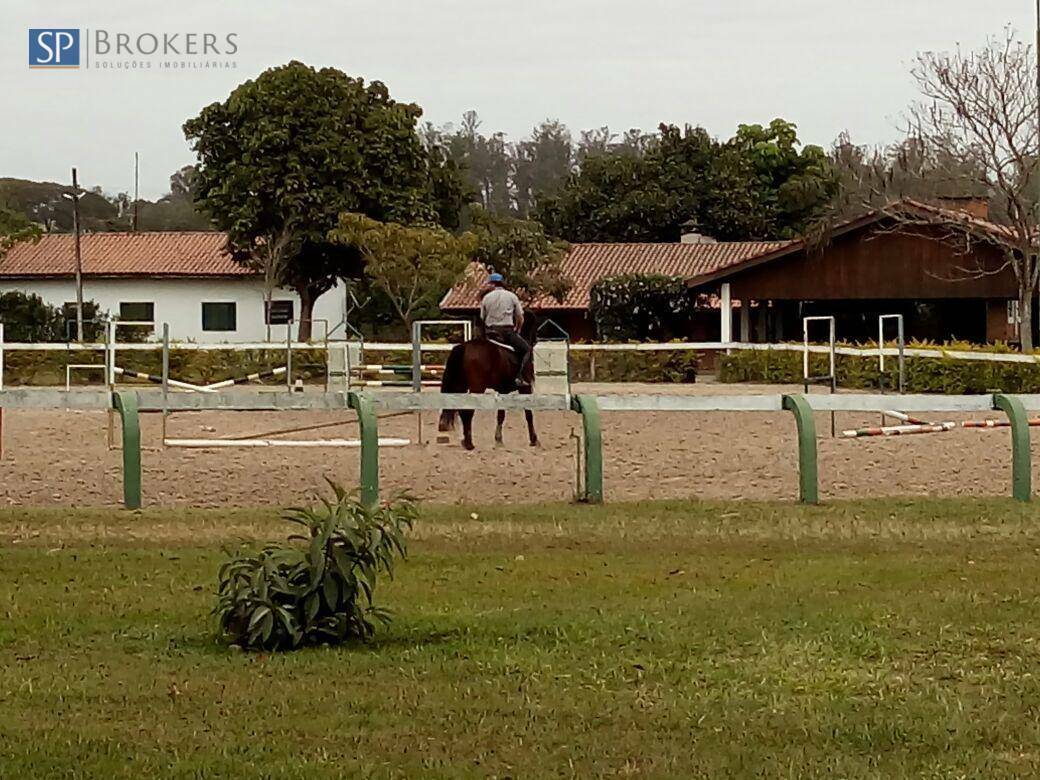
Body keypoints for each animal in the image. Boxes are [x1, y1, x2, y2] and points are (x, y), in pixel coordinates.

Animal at [436, 307, 540, 449]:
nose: (535, 340)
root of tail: (465, 346)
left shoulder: (503, 390)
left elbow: (501, 415)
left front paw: (498, 439)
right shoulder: (526, 388)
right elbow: (529, 414)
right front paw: (534, 439)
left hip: (461, 386)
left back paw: (465, 440)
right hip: (477, 388)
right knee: (467, 412)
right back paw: (469, 443)